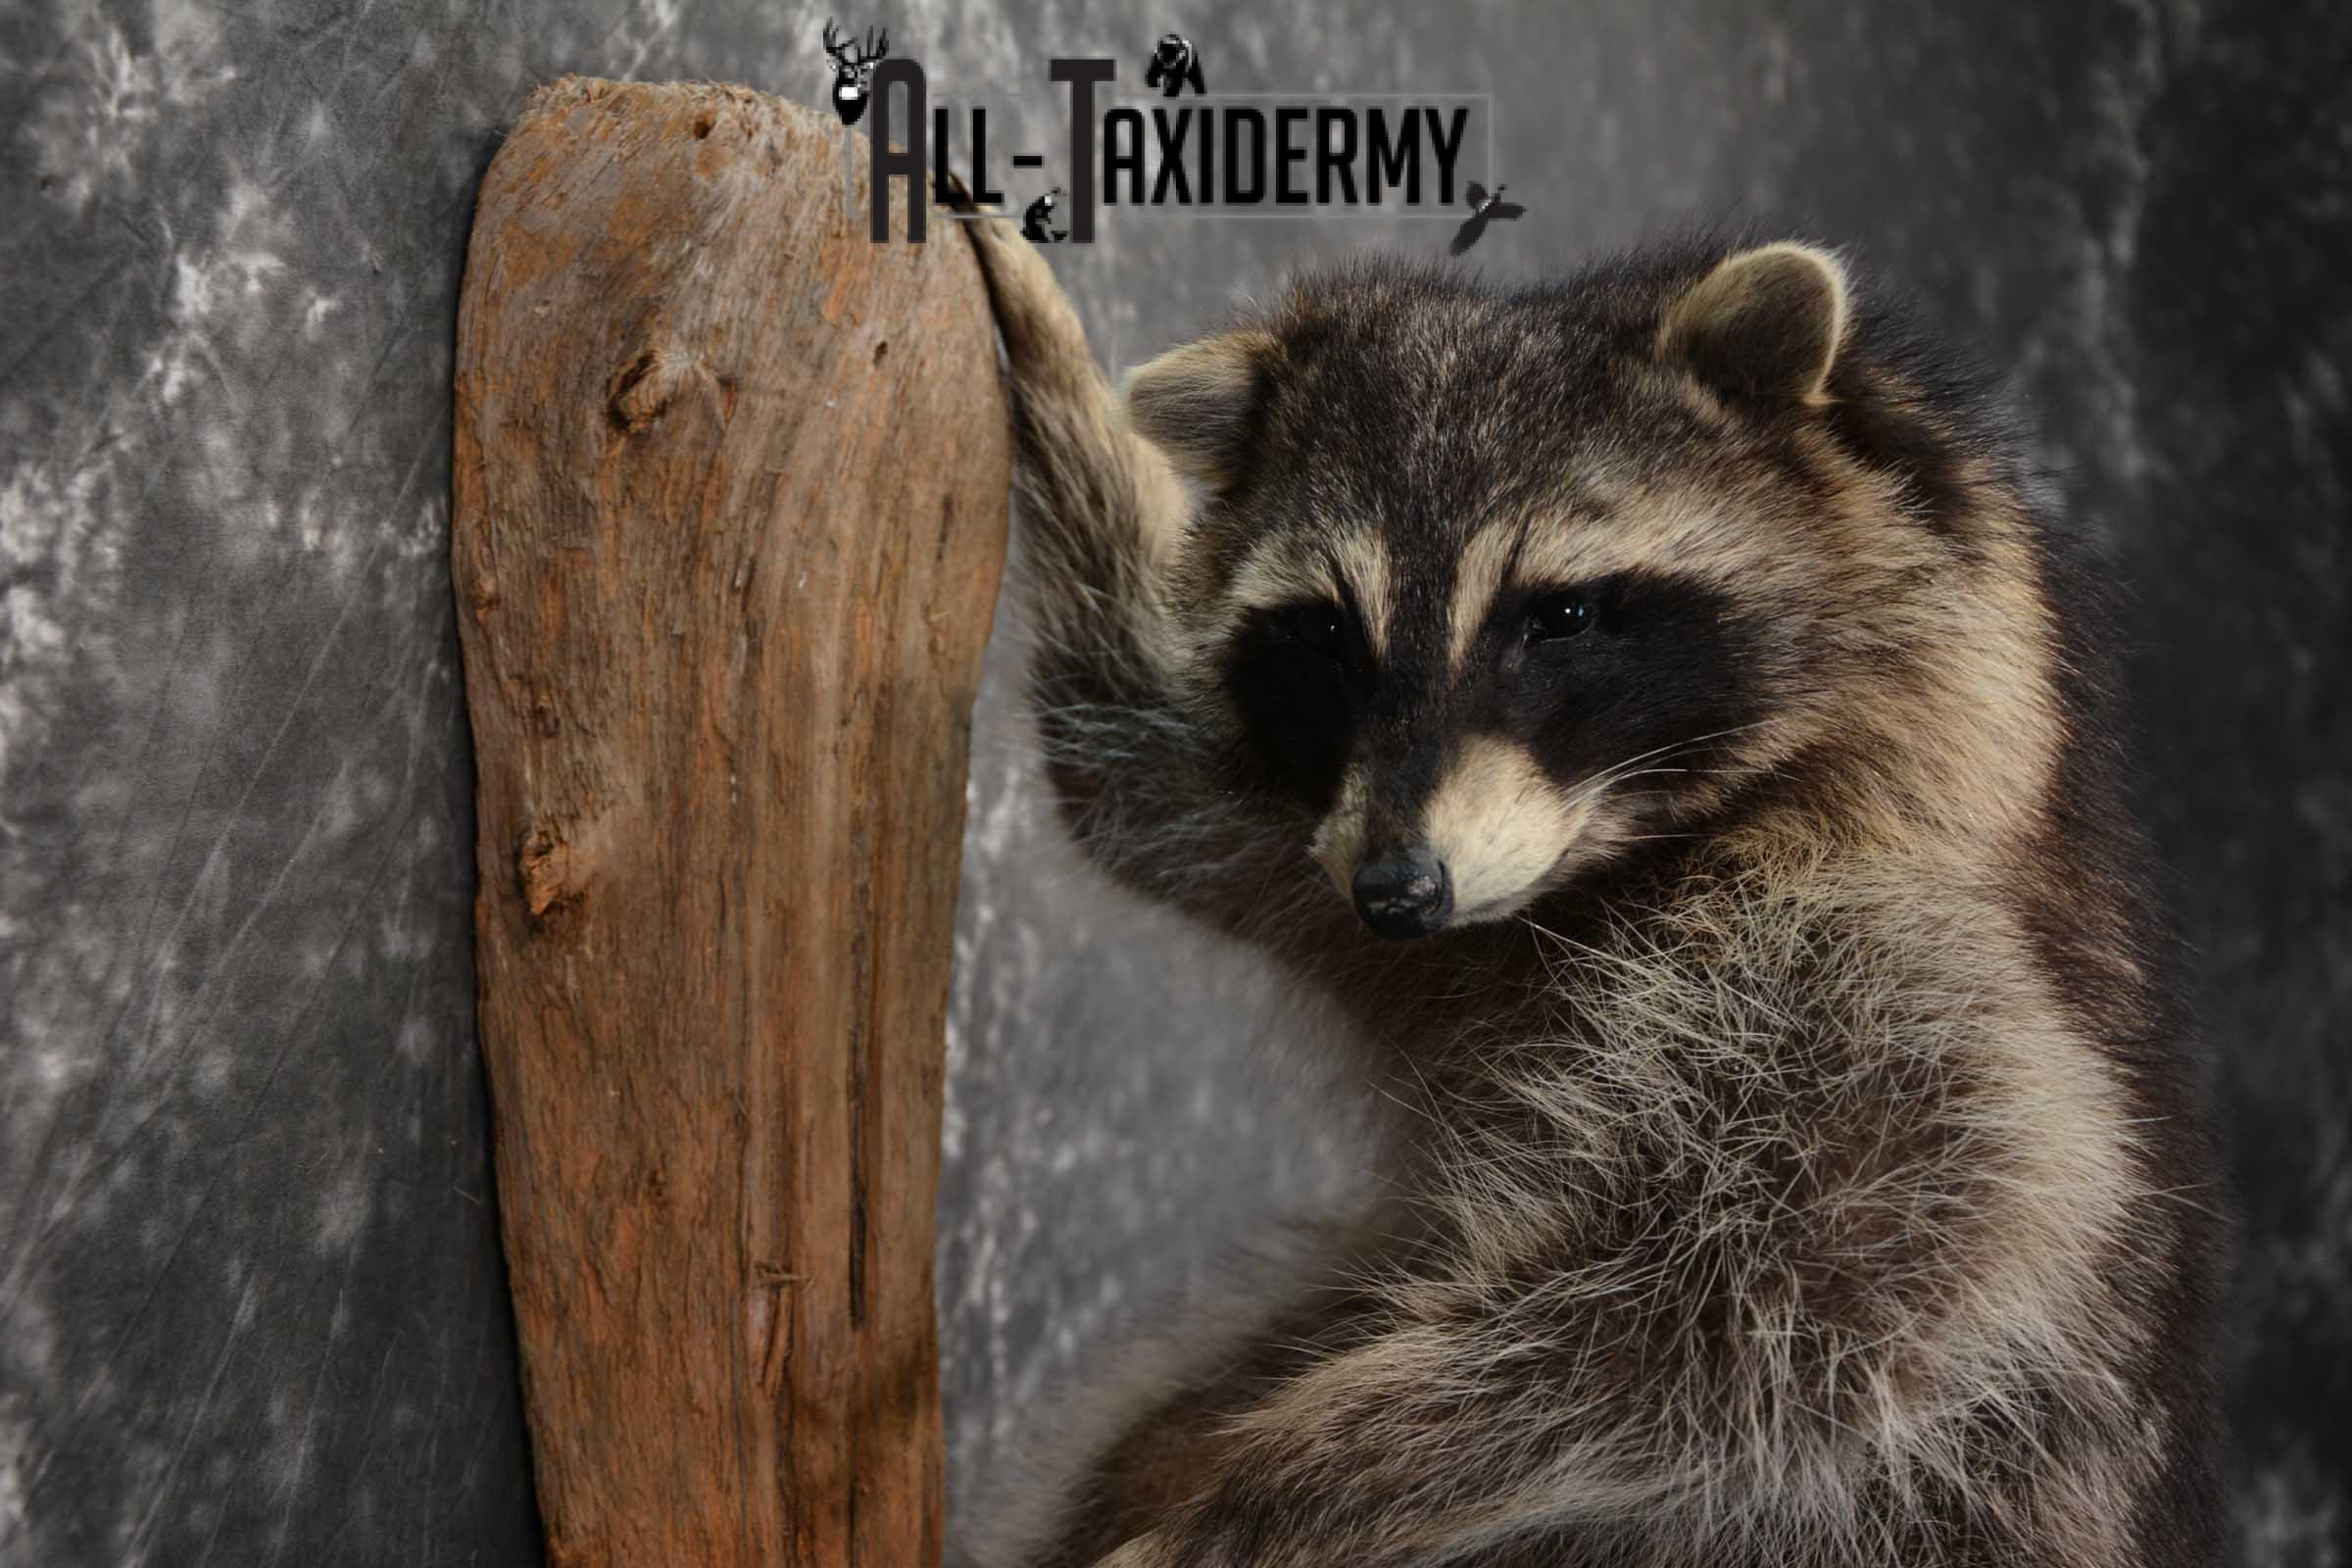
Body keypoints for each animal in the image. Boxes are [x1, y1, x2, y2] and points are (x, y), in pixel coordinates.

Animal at [953, 216, 2226, 1567]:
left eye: (1561, 615)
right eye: (1325, 637)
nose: (1396, 893)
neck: (1605, 855)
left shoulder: (1903, 970)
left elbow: (1759, 1308)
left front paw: (1281, 1484)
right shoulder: (1369, 860)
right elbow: (1133, 767)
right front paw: (1051, 373)